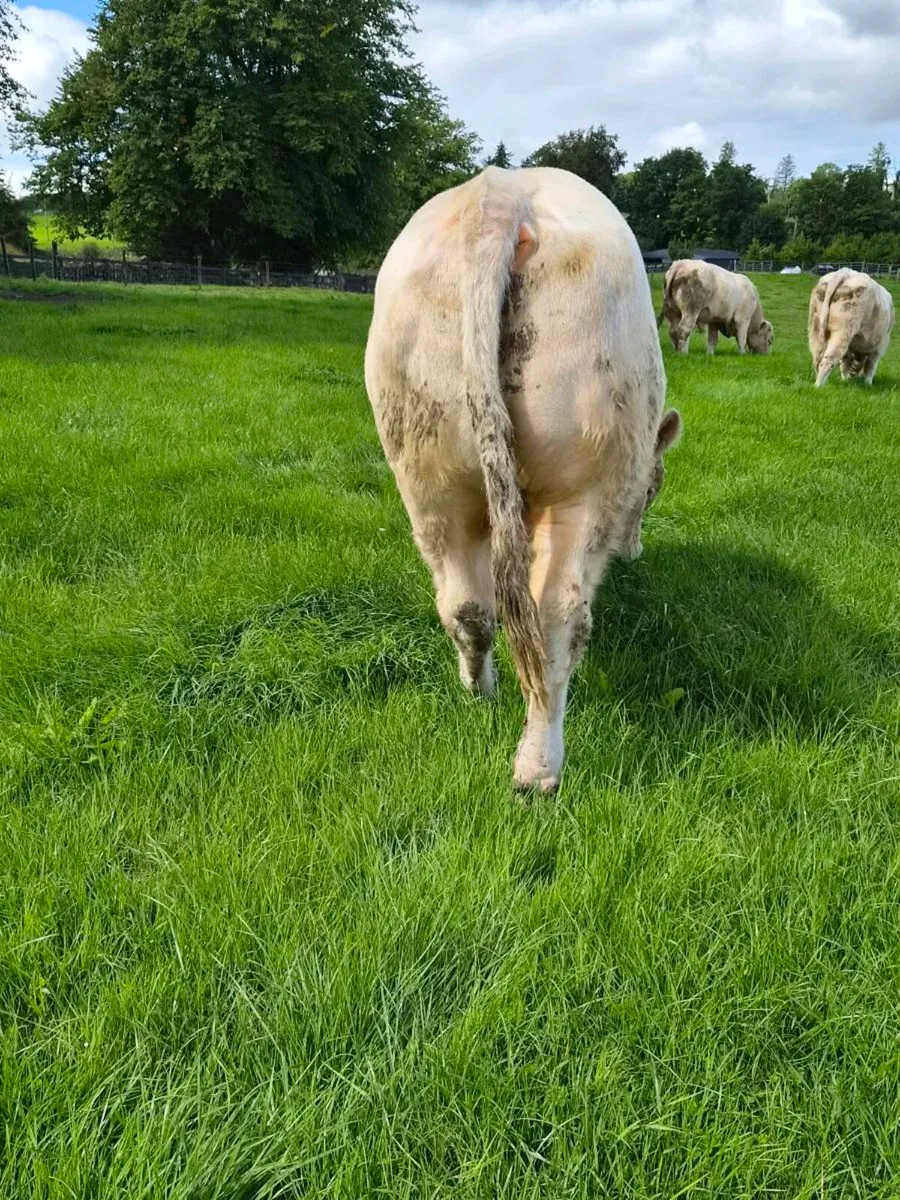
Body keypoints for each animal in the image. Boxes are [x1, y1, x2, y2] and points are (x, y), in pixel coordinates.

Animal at [364, 166, 682, 793]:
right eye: (653, 487)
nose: (634, 549)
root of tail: (500, 197)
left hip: (426, 474)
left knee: (468, 605)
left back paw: (479, 693)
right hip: (585, 480)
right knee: (559, 617)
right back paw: (539, 768)